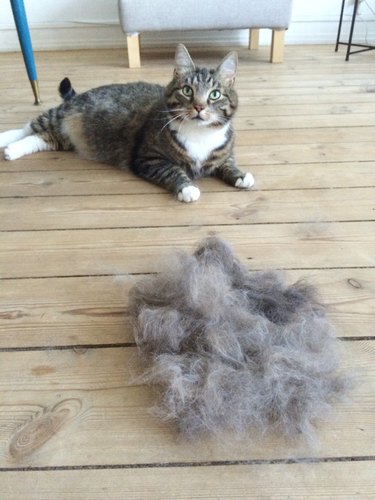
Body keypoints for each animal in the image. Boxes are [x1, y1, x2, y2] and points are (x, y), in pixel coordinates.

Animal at [0, 43, 254, 203]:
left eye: (214, 95)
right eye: (187, 90)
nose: (199, 107)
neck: (199, 135)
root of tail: (79, 96)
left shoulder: (224, 154)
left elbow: (228, 165)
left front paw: (241, 175)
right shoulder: (148, 159)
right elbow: (173, 170)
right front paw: (188, 188)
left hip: (65, 138)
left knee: (42, 138)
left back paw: (14, 149)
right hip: (59, 117)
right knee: (30, 126)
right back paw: (8, 143)